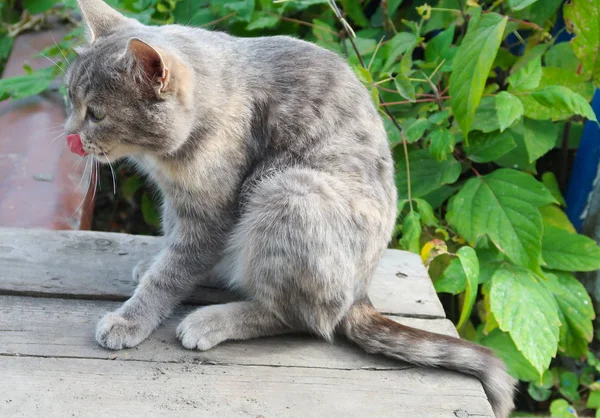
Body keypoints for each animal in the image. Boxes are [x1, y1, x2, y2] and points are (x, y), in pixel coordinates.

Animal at [64, 1, 516, 416]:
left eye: (96, 114)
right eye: (70, 100)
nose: (68, 135)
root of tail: (360, 293)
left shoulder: (211, 215)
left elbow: (172, 274)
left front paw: (131, 318)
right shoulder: (179, 202)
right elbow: (173, 247)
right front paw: (152, 266)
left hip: (287, 195)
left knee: (302, 318)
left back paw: (213, 320)